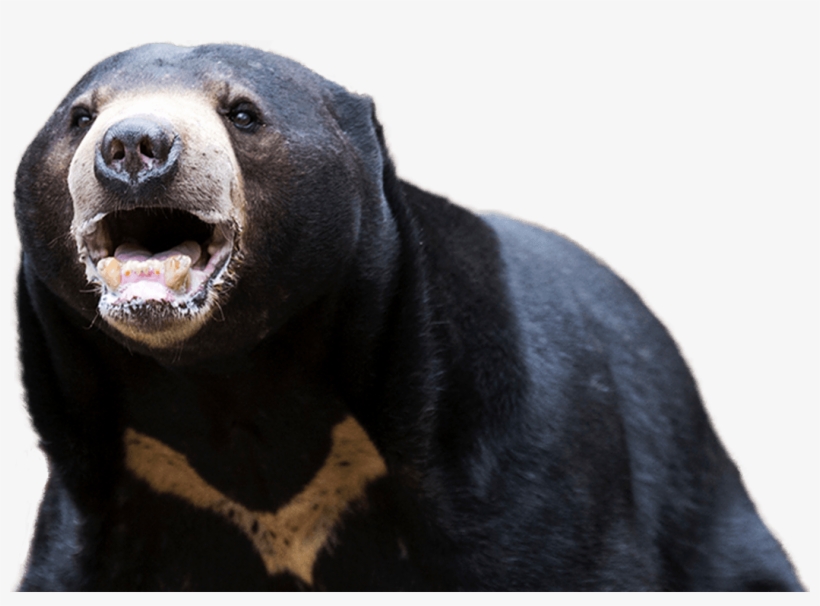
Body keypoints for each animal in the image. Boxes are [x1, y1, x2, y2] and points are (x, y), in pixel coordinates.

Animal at [14, 43, 802, 591]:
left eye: (242, 113)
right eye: (79, 117)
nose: (133, 147)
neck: (233, 379)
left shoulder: (504, 451)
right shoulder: (106, 498)